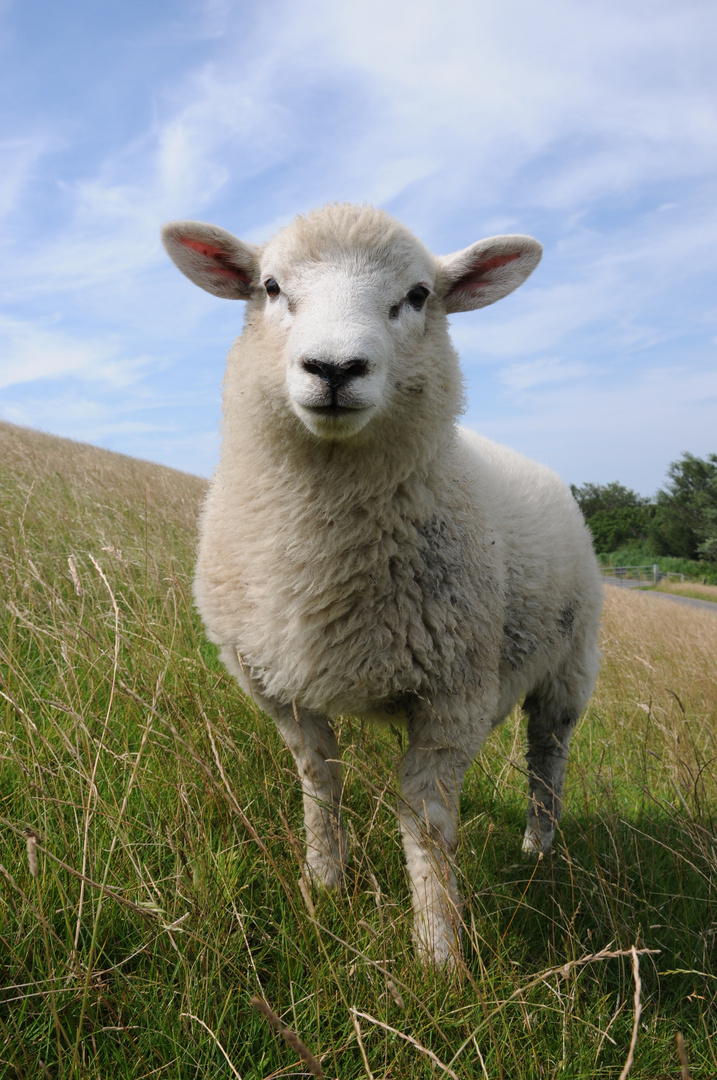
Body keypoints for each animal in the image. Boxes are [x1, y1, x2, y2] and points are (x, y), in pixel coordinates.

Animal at [164, 206, 604, 967]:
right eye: (270, 286)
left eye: (418, 295)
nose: (334, 368)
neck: (322, 564)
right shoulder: (279, 686)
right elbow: (320, 783)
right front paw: (324, 884)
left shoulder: (452, 695)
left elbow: (427, 822)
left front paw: (438, 955)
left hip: (568, 670)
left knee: (547, 759)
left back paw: (537, 849)